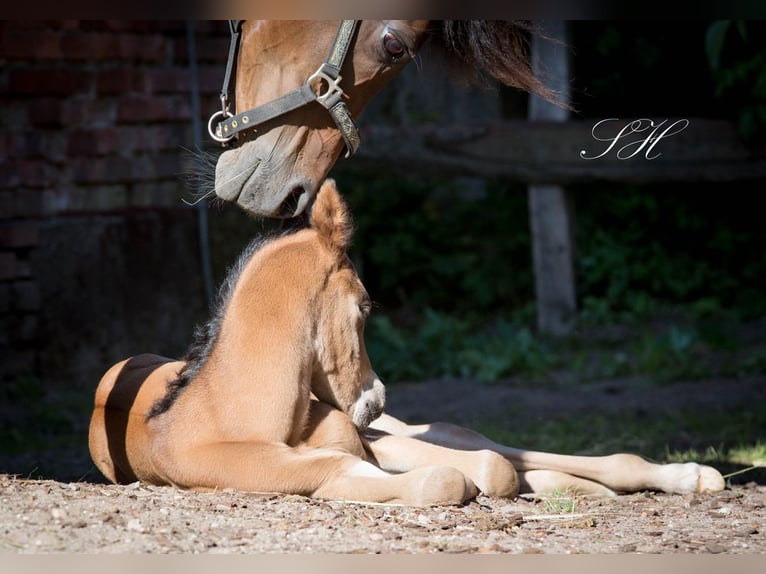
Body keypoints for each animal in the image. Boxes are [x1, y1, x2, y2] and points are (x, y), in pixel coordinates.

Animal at [90, 181, 728, 508]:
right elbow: (451, 480)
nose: (375, 397)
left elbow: (493, 465)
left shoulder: (371, 444)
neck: (242, 417)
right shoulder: (315, 472)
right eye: (366, 306)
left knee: (488, 443)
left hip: (401, 432)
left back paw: (691, 476)